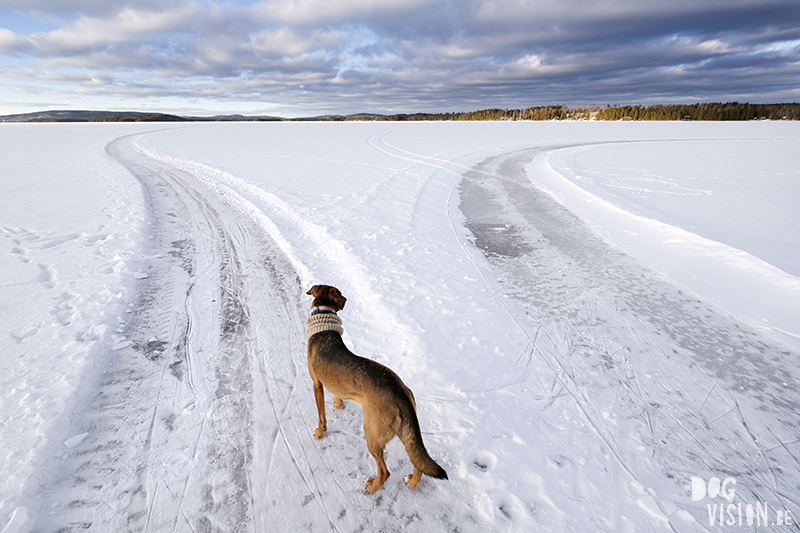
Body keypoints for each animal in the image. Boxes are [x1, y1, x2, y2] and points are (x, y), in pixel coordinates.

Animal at [304, 284, 446, 492]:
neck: (324, 321)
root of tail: (400, 392)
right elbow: (338, 393)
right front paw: (338, 403)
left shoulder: (317, 384)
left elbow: (322, 416)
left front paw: (320, 432)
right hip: (404, 430)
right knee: (417, 461)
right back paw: (412, 481)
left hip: (372, 433)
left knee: (385, 471)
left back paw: (372, 486)